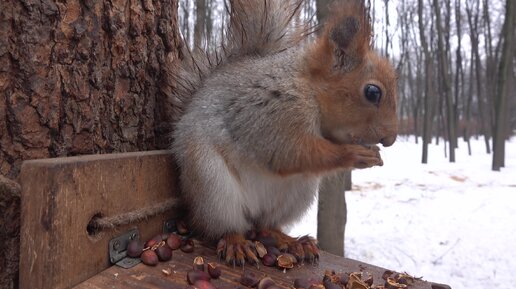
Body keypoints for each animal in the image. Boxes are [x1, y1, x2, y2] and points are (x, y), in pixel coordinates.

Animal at [171, 0, 398, 264]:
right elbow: (290, 153)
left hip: (299, 193)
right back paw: (236, 242)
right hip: (211, 185)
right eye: (372, 92)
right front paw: (356, 155)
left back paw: (292, 242)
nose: (390, 139)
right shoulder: (273, 112)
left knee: (266, 225)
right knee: (224, 225)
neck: (309, 88)